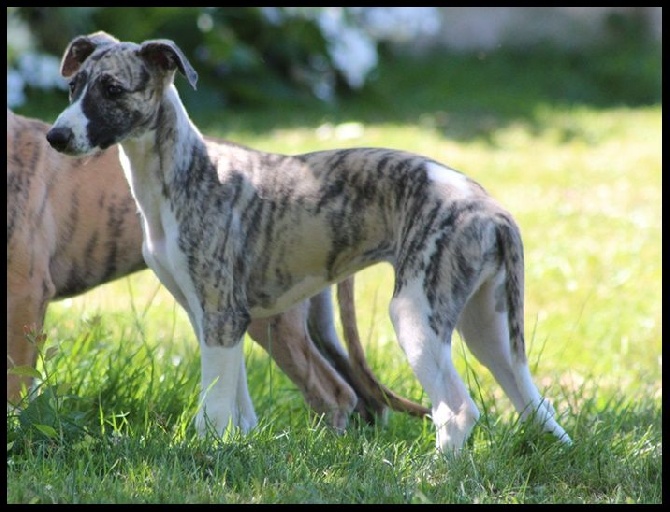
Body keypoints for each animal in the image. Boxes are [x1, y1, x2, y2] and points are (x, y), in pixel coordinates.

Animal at [6, 111, 430, 428]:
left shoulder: (25, 293)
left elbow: (16, 380)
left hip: (272, 319)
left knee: (332, 391)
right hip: (312, 317)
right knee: (363, 393)